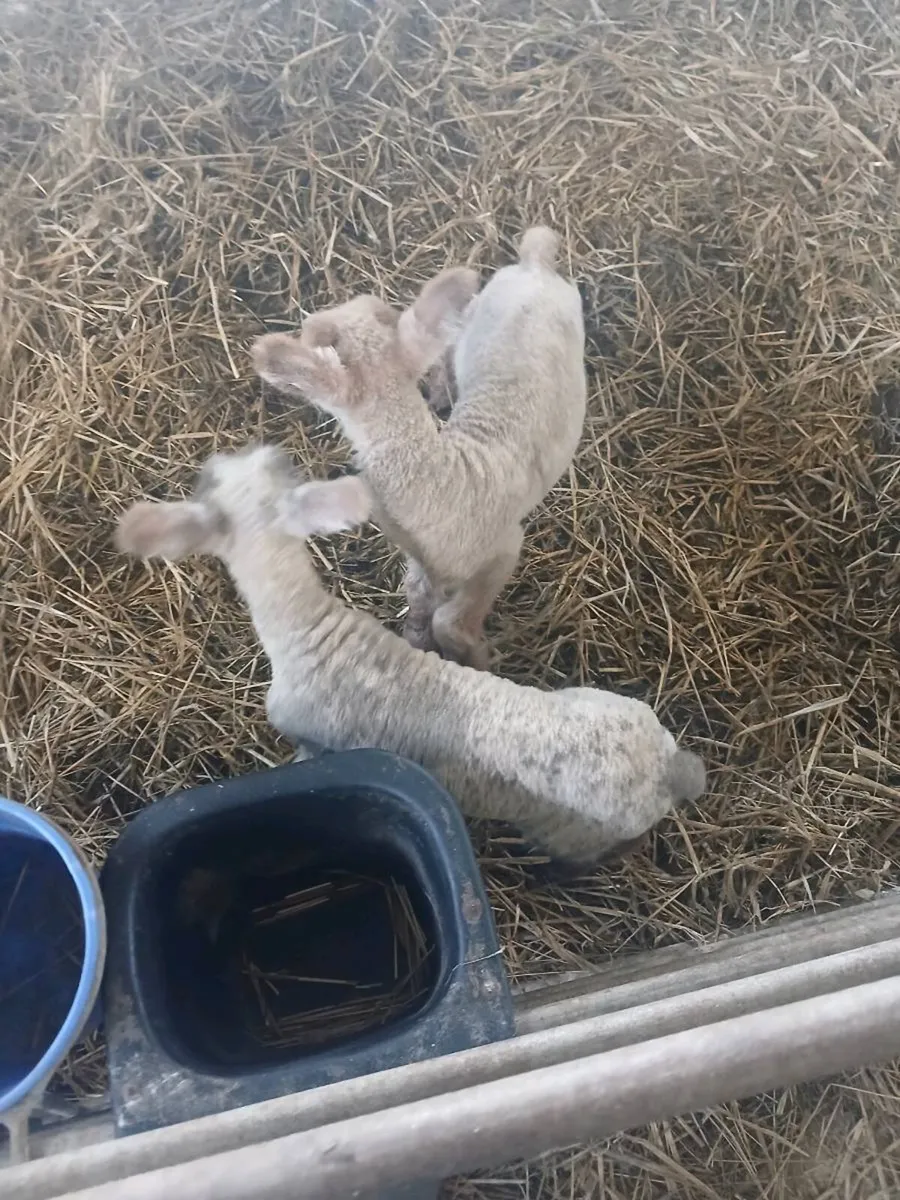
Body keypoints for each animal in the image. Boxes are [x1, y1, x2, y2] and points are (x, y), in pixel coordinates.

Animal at [115, 445, 706, 868]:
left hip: (578, 834)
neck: (310, 630)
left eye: (210, 485)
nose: (213, 461)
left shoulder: (309, 734)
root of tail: (674, 769)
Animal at [250, 225, 587, 671]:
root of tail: (534, 266)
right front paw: (420, 643)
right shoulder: (421, 560)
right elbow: (418, 600)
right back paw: (442, 393)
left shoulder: (503, 550)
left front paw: (477, 659)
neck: (437, 476)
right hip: (477, 313)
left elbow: (450, 620)